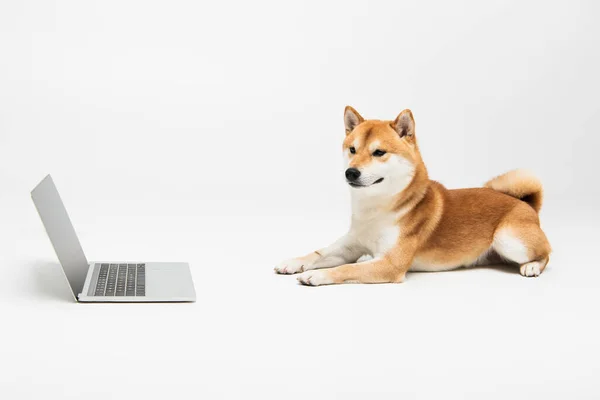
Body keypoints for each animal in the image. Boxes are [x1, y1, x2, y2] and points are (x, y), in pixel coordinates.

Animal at [274, 106, 552, 286]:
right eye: (352, 149)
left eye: (379, 153)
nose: (350, 172)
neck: (376, 210)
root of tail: (525, 203)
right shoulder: (350, 245)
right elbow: (318, 254)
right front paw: (293, 262)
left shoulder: (389, 264)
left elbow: (346, 268)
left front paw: (317, 275)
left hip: (508, 239)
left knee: (546, 253)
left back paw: (532, 266)